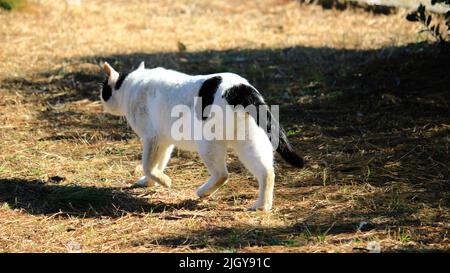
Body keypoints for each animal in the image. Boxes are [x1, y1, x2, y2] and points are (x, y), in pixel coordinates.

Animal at [98, 61, 302, 210]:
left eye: (103, 90)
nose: (101, 100)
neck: (130, 84)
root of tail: (241, 88)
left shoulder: (152, 138)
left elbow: (148, 166)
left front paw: (164, 181)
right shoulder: (164, 141)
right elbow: (159, 163)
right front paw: (149, 182)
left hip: (208, 145)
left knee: (222, 174)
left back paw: (203, 192)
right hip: (249, 143)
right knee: (267, 172)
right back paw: (262, 206)